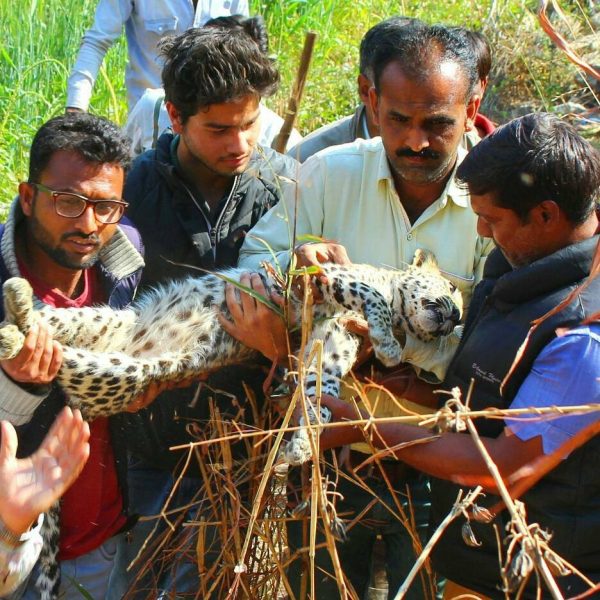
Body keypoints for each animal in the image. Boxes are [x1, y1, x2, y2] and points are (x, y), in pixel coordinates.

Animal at [0, 250, 462, 600]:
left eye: (456, 318)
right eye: (452, 291)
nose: (453, 318)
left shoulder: (328, 349)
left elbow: (322, 398)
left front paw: (303, 445)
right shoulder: (323, 277)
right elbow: (372, 295)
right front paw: (388, 343)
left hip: (127, 369)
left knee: (56, 351)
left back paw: (20, 332)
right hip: (103, 327)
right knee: (48, 329)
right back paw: (18, 304)